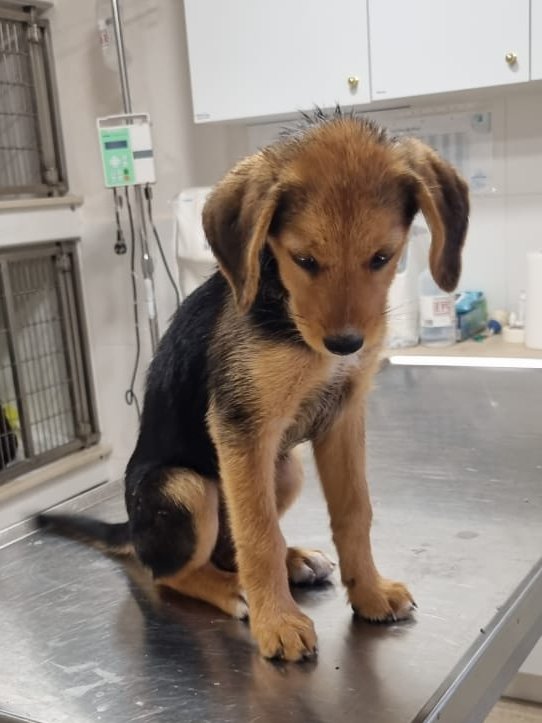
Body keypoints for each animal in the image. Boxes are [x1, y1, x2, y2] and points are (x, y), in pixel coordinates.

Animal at [39, 109, 469, 662]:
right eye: (304, 260)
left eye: (383, 257)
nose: (346, 344)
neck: (288, 317)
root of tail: (132, 530)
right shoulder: (242, 428)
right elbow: (259, 534)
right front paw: (278, 622)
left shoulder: (343, 417)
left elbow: (354, 511)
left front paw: (369, 592)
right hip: (183, 487)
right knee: (170, 573)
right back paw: (234, 588)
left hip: (285, 468)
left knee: (231, 543)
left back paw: (293, 562)